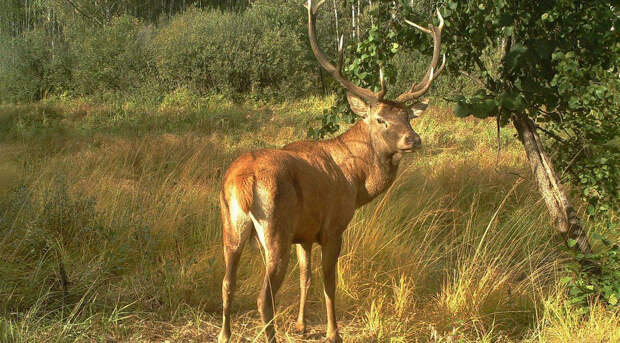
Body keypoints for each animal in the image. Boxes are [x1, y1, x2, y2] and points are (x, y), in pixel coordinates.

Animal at [216, 1, 444, 342]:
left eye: (407, 116)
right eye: (380, 119)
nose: (413, 139)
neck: (356, 182)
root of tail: (243, 181)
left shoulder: (305, 233)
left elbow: (305, 276)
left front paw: (301, 325)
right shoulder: (333, 226)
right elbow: (329, 282)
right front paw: (333, 331)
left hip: (230, 226)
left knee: (227, 283)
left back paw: (223, 334)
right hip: (275, 228)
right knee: (263, 297)